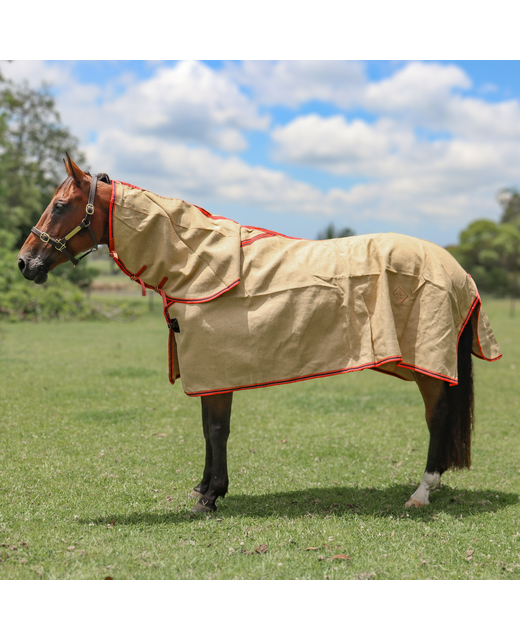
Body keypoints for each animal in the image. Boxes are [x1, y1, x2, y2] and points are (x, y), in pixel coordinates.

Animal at [18, 155, 501, 514]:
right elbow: (210, 429)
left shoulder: (217, 369)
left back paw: (421, 492)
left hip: (428, 364)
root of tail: (458, 271)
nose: (25, 262)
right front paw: (204, 488)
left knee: (437, 418)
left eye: (60, 206)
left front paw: (210, 497)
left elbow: (216, 430)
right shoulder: (212, 371)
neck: (196, 262)